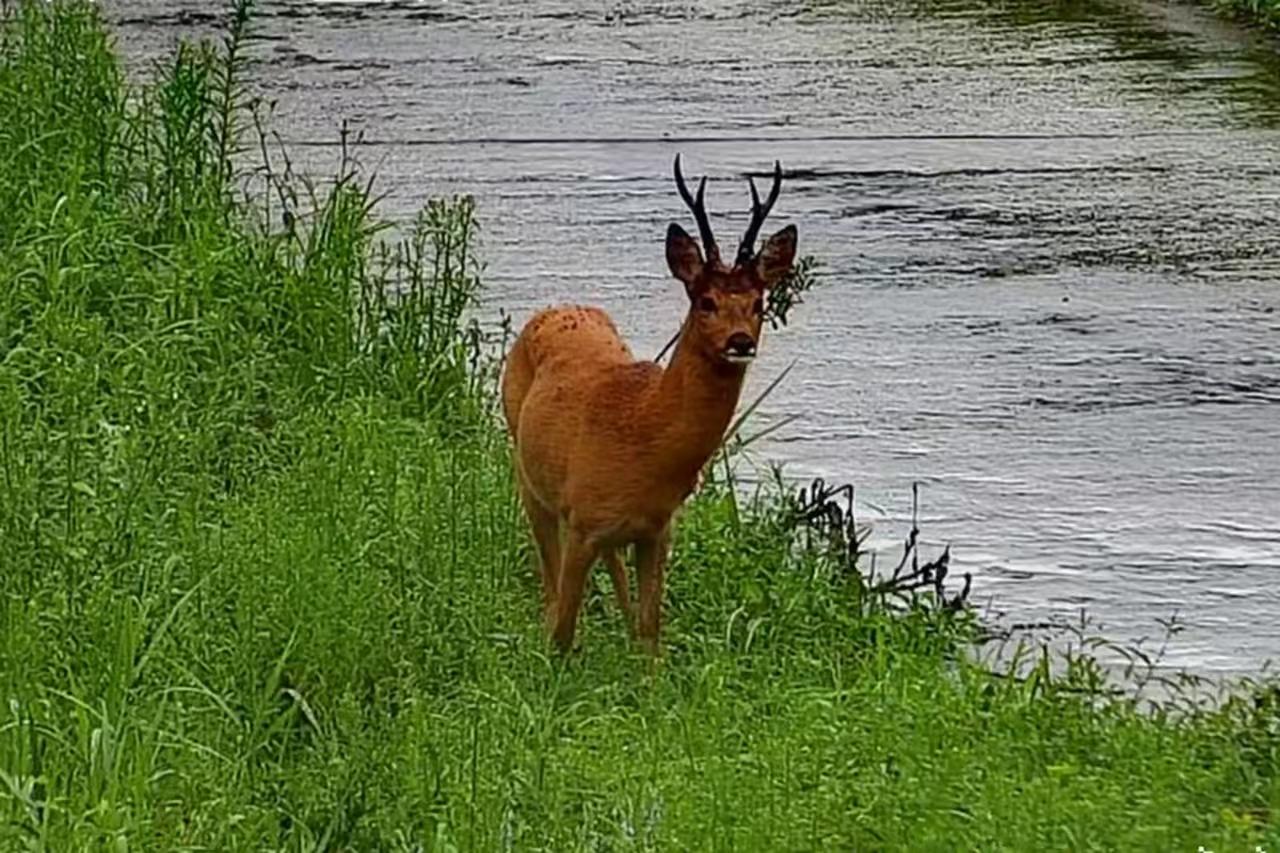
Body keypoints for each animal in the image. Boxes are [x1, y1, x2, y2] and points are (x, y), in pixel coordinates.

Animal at [501, 154, 793, 650]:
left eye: (758, 302)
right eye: (706, 301)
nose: (740, 342)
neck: (646, 437)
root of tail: (556, 308)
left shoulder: (658, 531)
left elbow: (650, 632)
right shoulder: (581, 520)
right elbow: (564, 630)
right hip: (529, 475)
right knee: (549, 582)